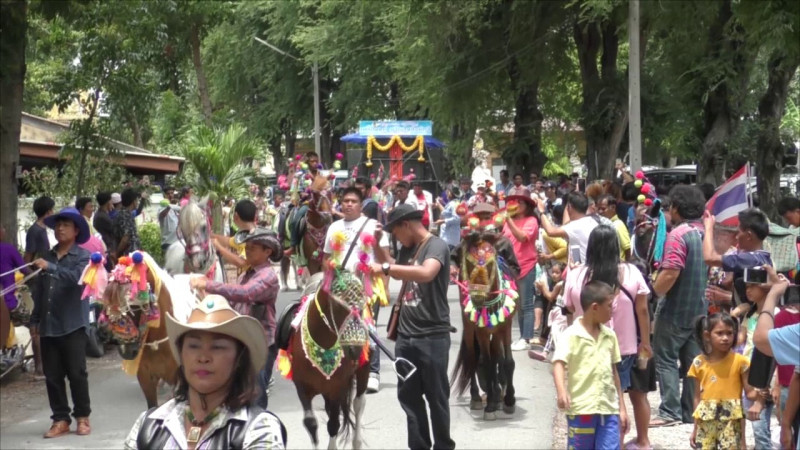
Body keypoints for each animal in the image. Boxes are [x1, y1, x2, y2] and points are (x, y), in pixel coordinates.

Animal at [286, 270, 370, 450]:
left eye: (362, 307)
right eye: (338, 306)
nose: (355, 349)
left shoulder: (336, 388)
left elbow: (333, 424)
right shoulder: (301, 386)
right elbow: (310, 422)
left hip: (363, 371)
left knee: (358, 404)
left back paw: (357, 442)